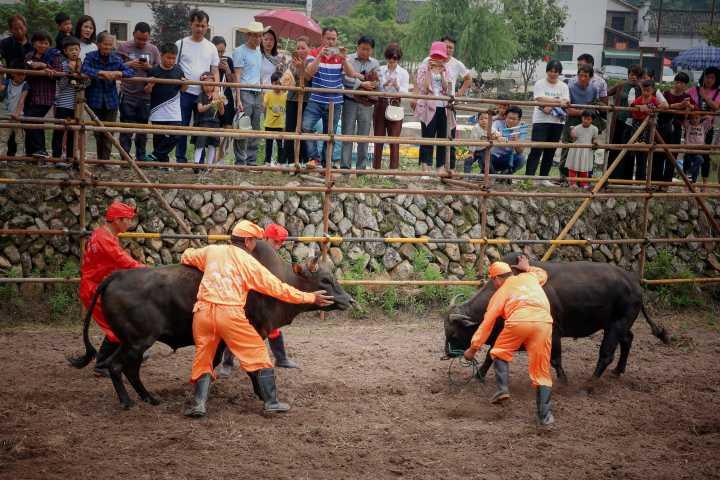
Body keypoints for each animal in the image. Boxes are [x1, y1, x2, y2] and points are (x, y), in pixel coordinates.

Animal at [70, 242, 354, 406]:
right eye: (325, 280)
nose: (349, 300)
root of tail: (114, 277)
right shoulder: (250, 333)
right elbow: (253, 368)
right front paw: (263, 396)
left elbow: (214, 362)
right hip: (137, 341)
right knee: (118, 367)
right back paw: (129, 401)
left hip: (133, 343)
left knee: (129, 369)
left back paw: (149, 397)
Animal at [442, 253, 672, 384]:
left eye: (453, 333)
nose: (447, 353)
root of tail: (634, 282)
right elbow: (492, 354)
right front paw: (479, 375)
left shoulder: (553, 333)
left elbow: (555, 359)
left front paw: (563, 380)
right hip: (617, 325)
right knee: (628, 341)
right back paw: (617, 371)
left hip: (616, 325)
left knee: (607, 354)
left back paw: (591, 382)